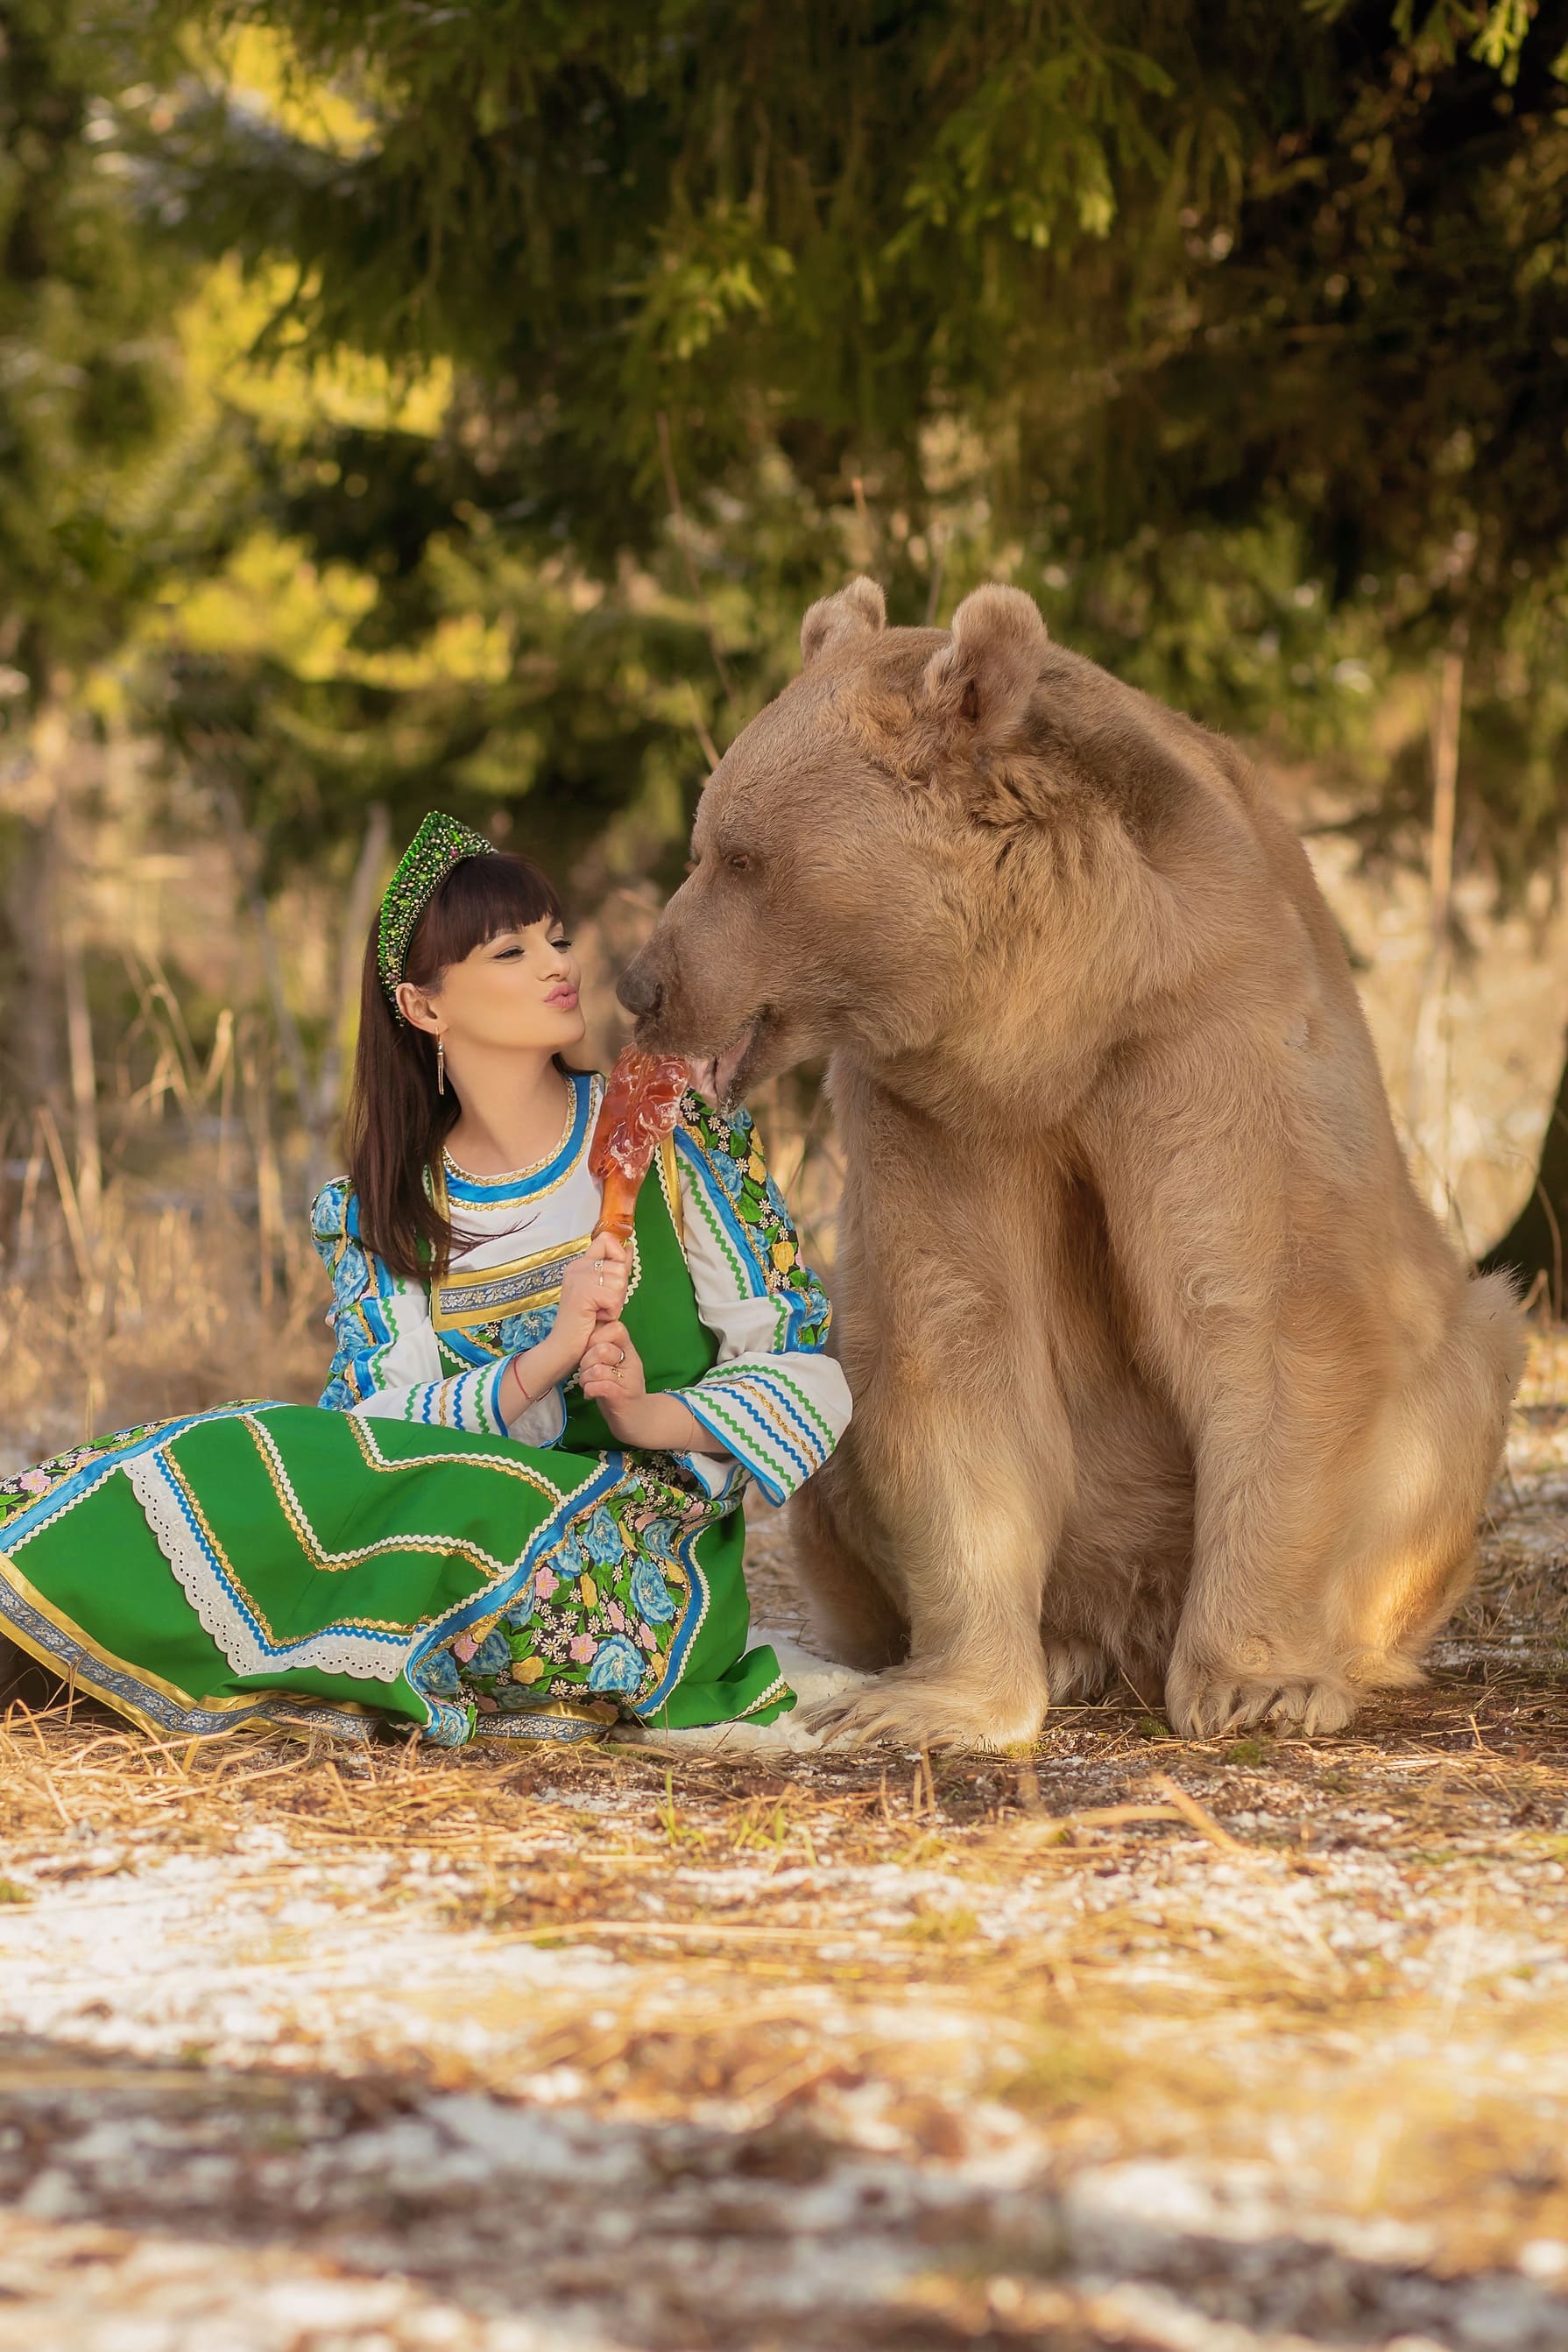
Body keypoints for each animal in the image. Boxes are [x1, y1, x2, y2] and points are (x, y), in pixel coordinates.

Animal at [617, 577, 1524, 1748]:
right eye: (706, 839)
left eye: (738, 855)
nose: (642, 984)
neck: (1059, 1015)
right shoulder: (932, 1106)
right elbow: (956, 1329)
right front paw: (933, 1702)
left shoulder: (1207, 1031)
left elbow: (1261, 1306)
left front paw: (1257, 1682)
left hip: (1441, 1400)